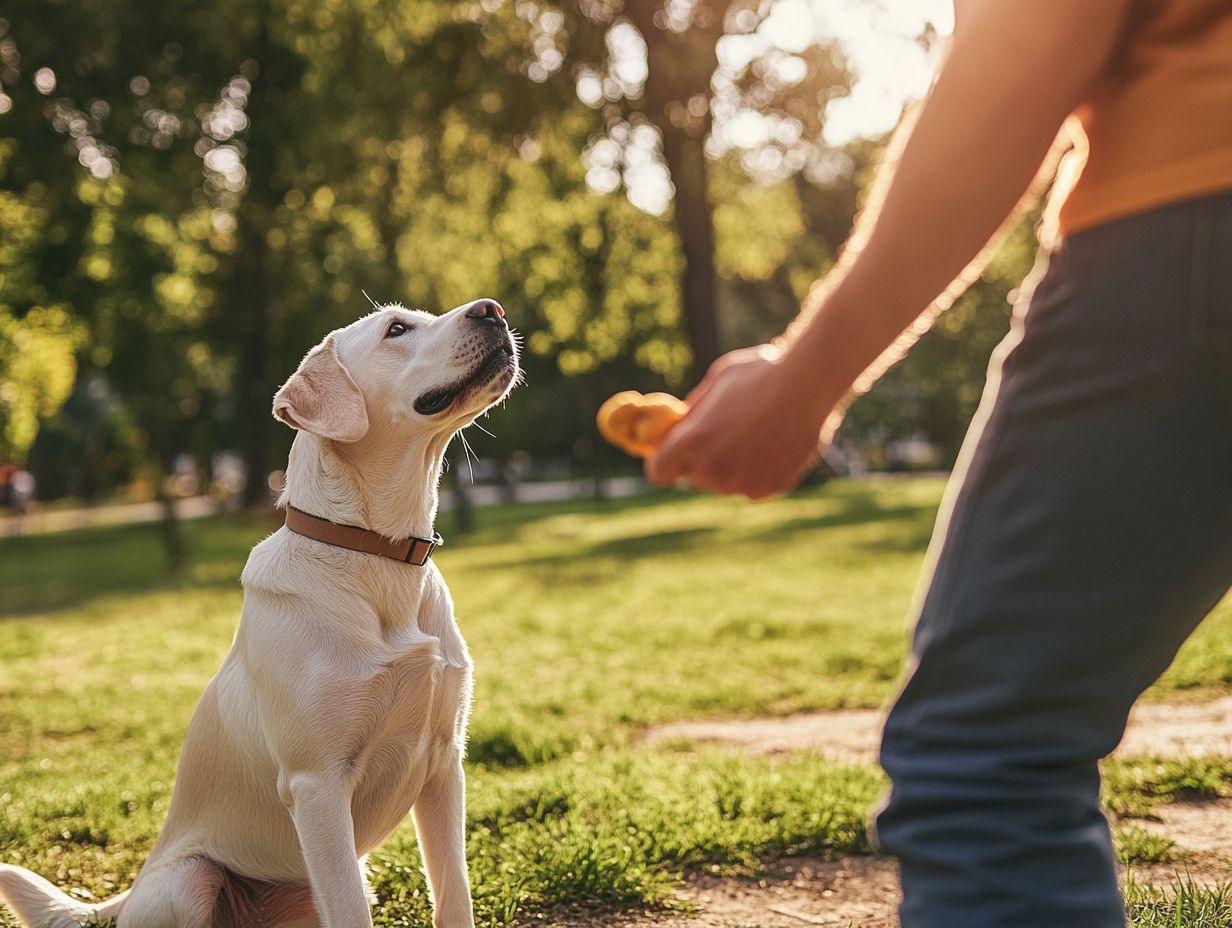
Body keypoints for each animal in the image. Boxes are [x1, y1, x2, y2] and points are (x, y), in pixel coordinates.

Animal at [0, 298, 519, 926]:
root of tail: (130, 889)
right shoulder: (317, 785)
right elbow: (352, 912)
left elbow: (453, 893)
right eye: (396, 329)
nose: (494, 310)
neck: (375, 556)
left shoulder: (445, 766)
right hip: (192, 880)